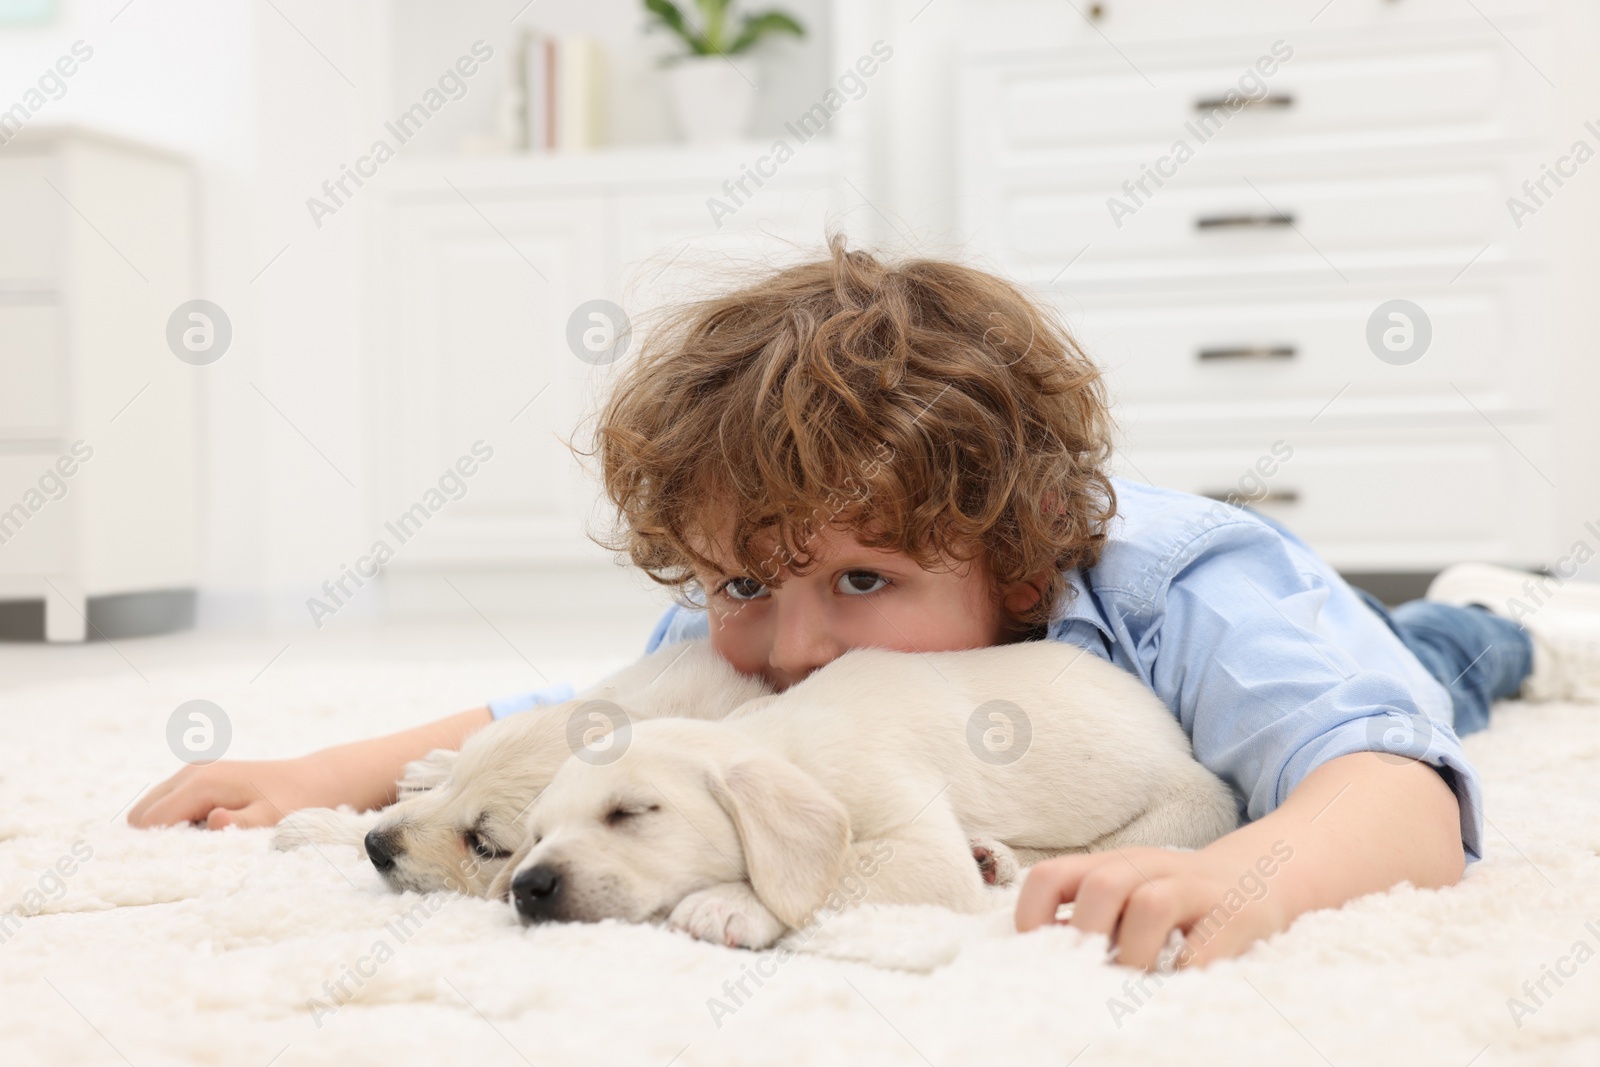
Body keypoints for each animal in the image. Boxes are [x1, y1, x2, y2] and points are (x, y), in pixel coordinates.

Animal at [496, 643, 1235, 953]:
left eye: (630, 812)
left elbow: (842, 870)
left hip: (1185, 807)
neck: (777, 737)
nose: (529, 887)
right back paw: (993, 856)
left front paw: (729, 903)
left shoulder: (903, 824)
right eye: (534, 837)